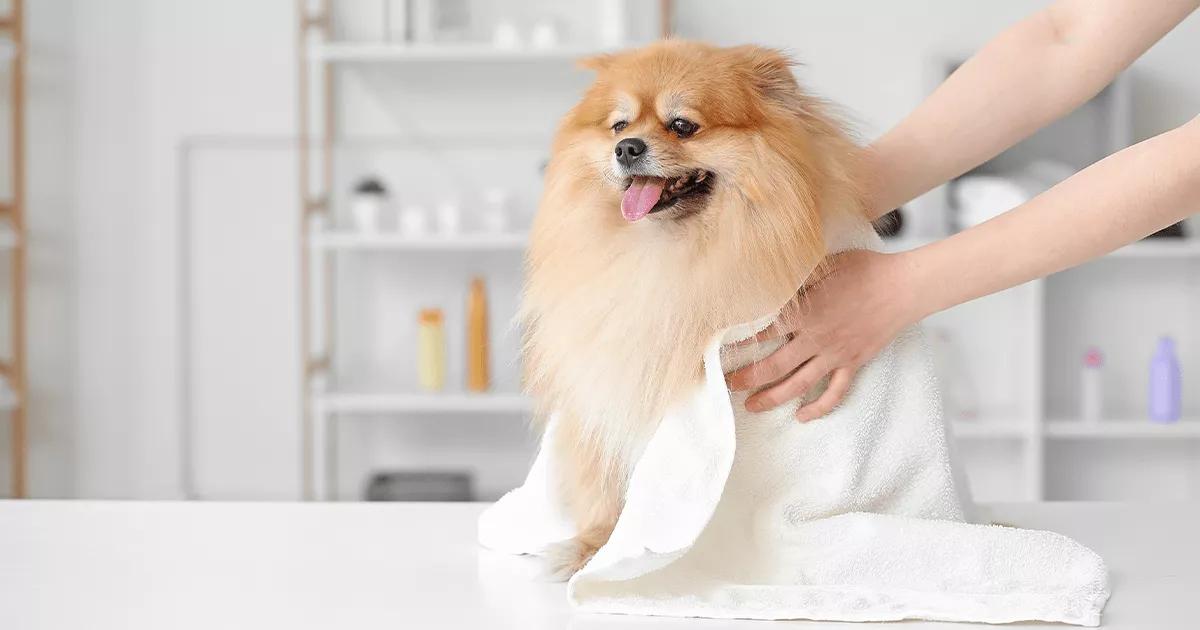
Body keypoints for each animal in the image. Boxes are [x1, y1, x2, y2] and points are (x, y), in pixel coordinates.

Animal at [520, 40, 868, 580]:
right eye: (619, 126)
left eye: (682, 125)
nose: (627, 148)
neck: (661, 257)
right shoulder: (602, 393)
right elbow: (602, 482)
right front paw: (592, 548)